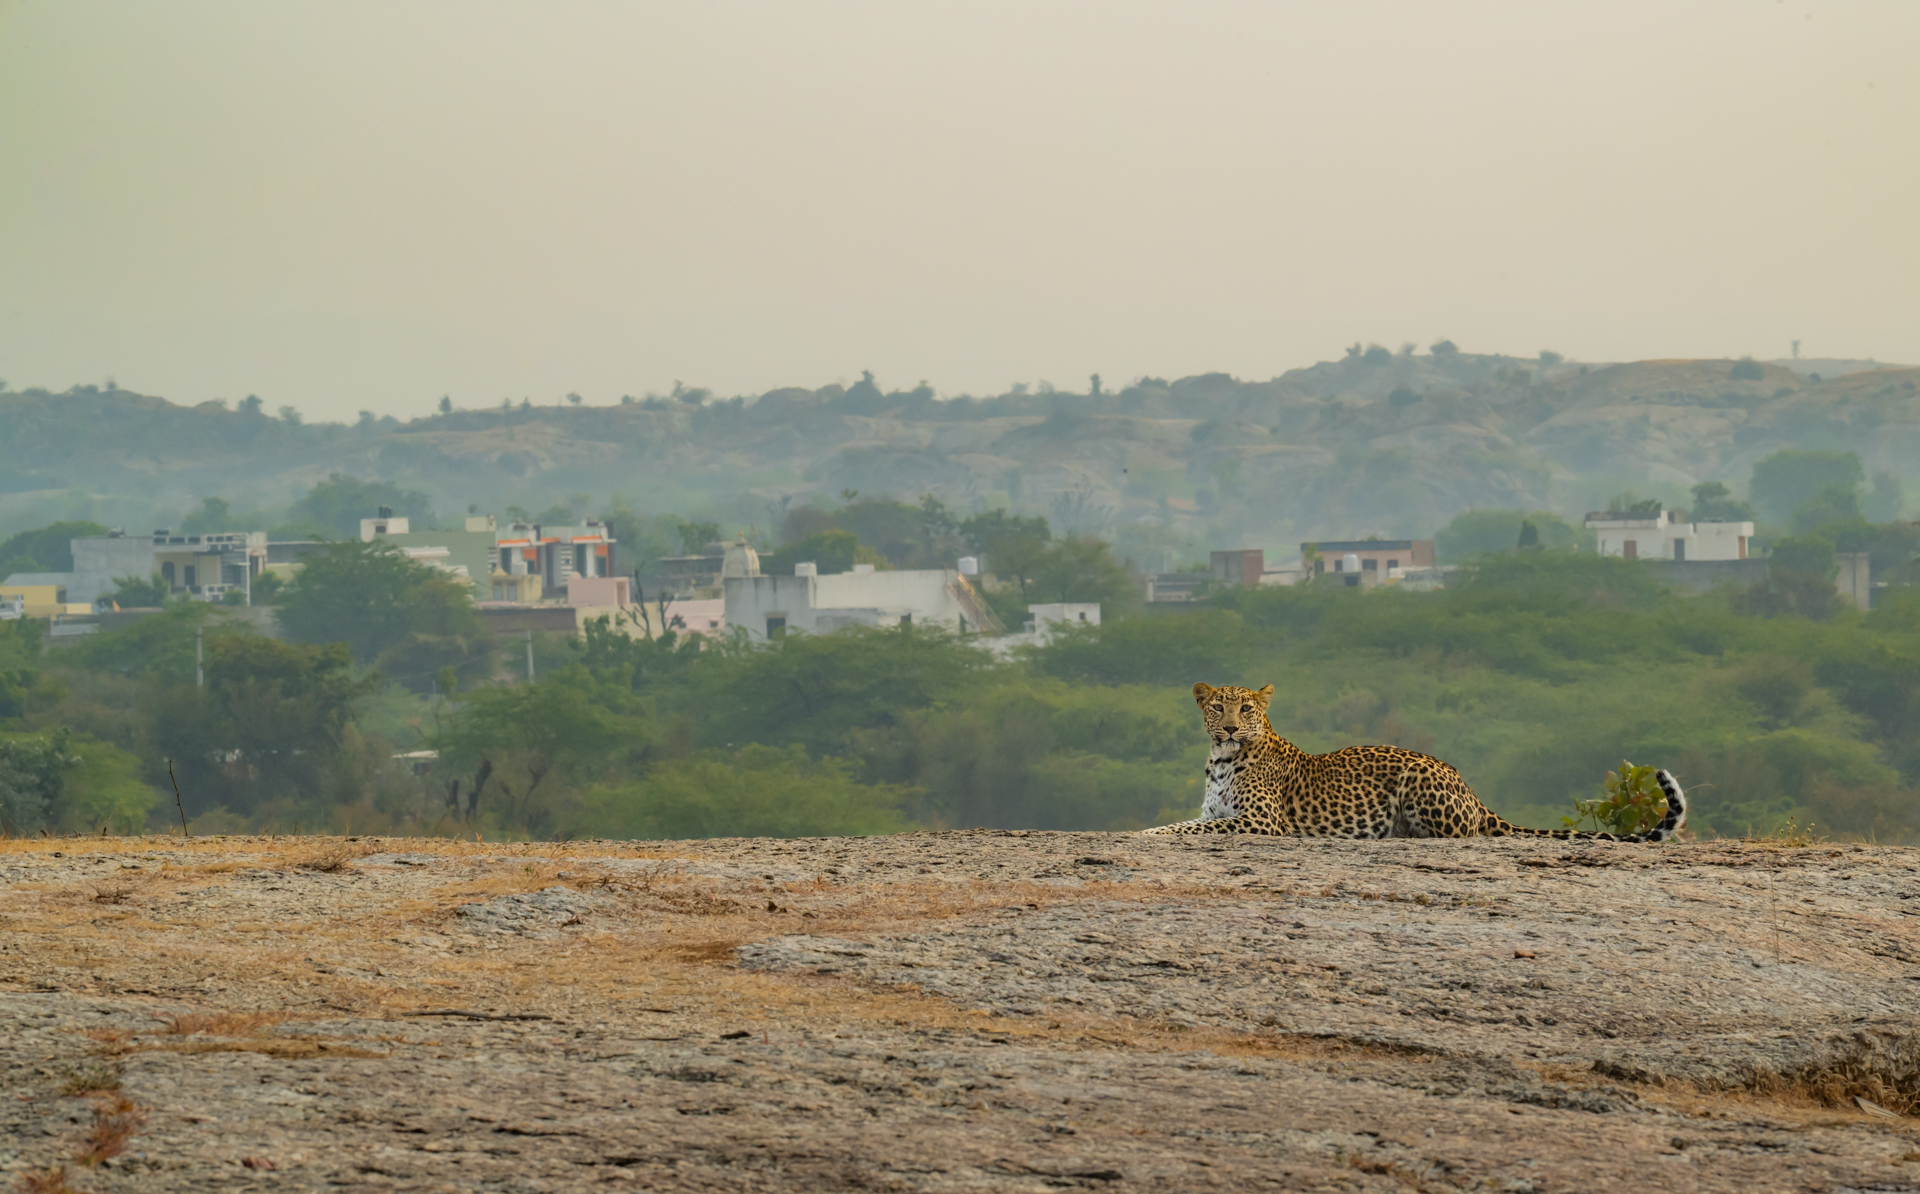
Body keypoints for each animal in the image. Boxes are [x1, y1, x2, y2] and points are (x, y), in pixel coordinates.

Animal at [1143, 682, 1686, 842]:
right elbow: (1192, 822)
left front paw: (1144, 833)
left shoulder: (1259, 821)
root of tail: (1471, 790)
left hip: (1419, 786)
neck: (1222, 759)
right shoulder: (1218, 812)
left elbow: (1184, 829)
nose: (1231, 729)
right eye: (1218, 707)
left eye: (1248, 710)